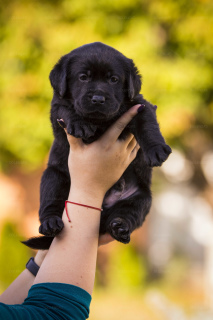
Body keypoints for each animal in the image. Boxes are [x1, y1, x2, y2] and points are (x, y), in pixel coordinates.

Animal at [22, 40, 171, 250]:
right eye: (83, 77)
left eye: (114, 79)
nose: (98, 99)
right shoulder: (57, 109)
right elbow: (67, 109)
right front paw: (80, 124)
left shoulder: (139, 105)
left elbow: (147, 124)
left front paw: (156, 150)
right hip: (53, 177)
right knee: (51, 204)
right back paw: (50, 224)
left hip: (141, 198)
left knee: (128, 213)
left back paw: (120, 228)